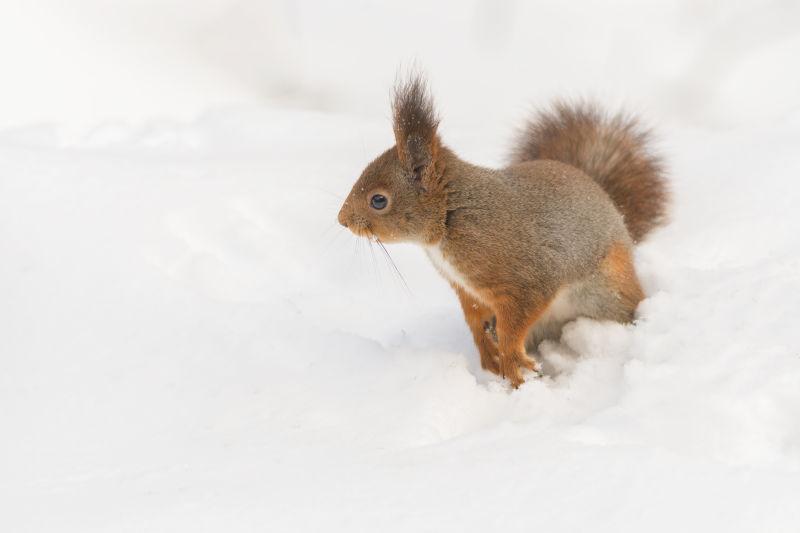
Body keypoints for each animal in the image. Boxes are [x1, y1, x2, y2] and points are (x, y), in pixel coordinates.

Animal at [338, 74, 668, 386]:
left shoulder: (526, 278)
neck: (450, 218)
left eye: (378, 200)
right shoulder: (466, 287)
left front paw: (511, 358)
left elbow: (518, 317)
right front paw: (489, 355)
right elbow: (475, 317)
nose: (342, 219)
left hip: (607, 293)